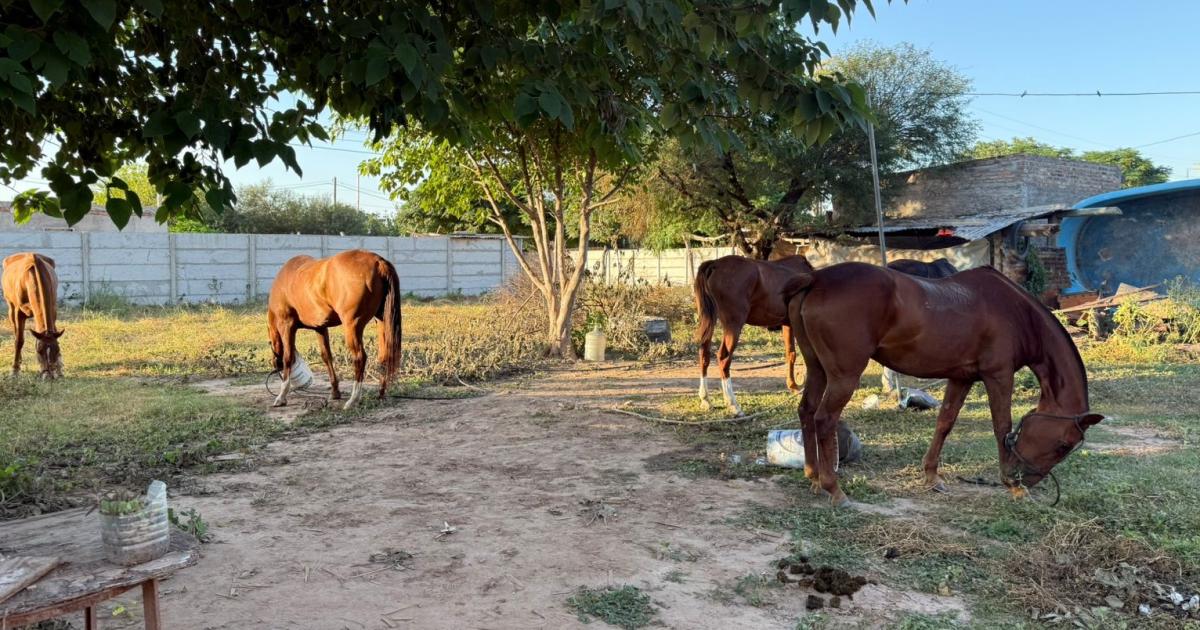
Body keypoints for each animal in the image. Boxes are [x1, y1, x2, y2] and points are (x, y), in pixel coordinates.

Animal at [267, 249, 402, 410]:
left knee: (360, 357)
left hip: (352, 326)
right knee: (384, 356)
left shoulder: (286, 325)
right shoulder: (320, 328)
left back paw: (353, 399)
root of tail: (377, 261)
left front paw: (281, 396)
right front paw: (335, 391)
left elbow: (288, 357)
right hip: (381, 321)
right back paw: (380, 393)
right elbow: (327, 356)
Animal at [694, 254, 813, 415]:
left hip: (709, 322)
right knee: (724, 358)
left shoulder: (787, 324)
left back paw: (705, 399)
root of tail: (715, 264)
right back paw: (733, 405)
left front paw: (793, 385)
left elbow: (791, 354)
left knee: (704, 354)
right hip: (733, 325)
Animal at [781, 262, 1102, 506]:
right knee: (824, 419)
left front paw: (931, 475)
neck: (1016, 313)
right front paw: (1012, 487)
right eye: (1063, 445)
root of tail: (816, 278)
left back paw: (813, 476)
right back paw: (833, 488)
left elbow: (945, 422)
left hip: (818, 370)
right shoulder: (998, 376)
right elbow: (1002, 427)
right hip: (844, 375)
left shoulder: (961, 378)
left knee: (806, 411)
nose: (1024, 478)